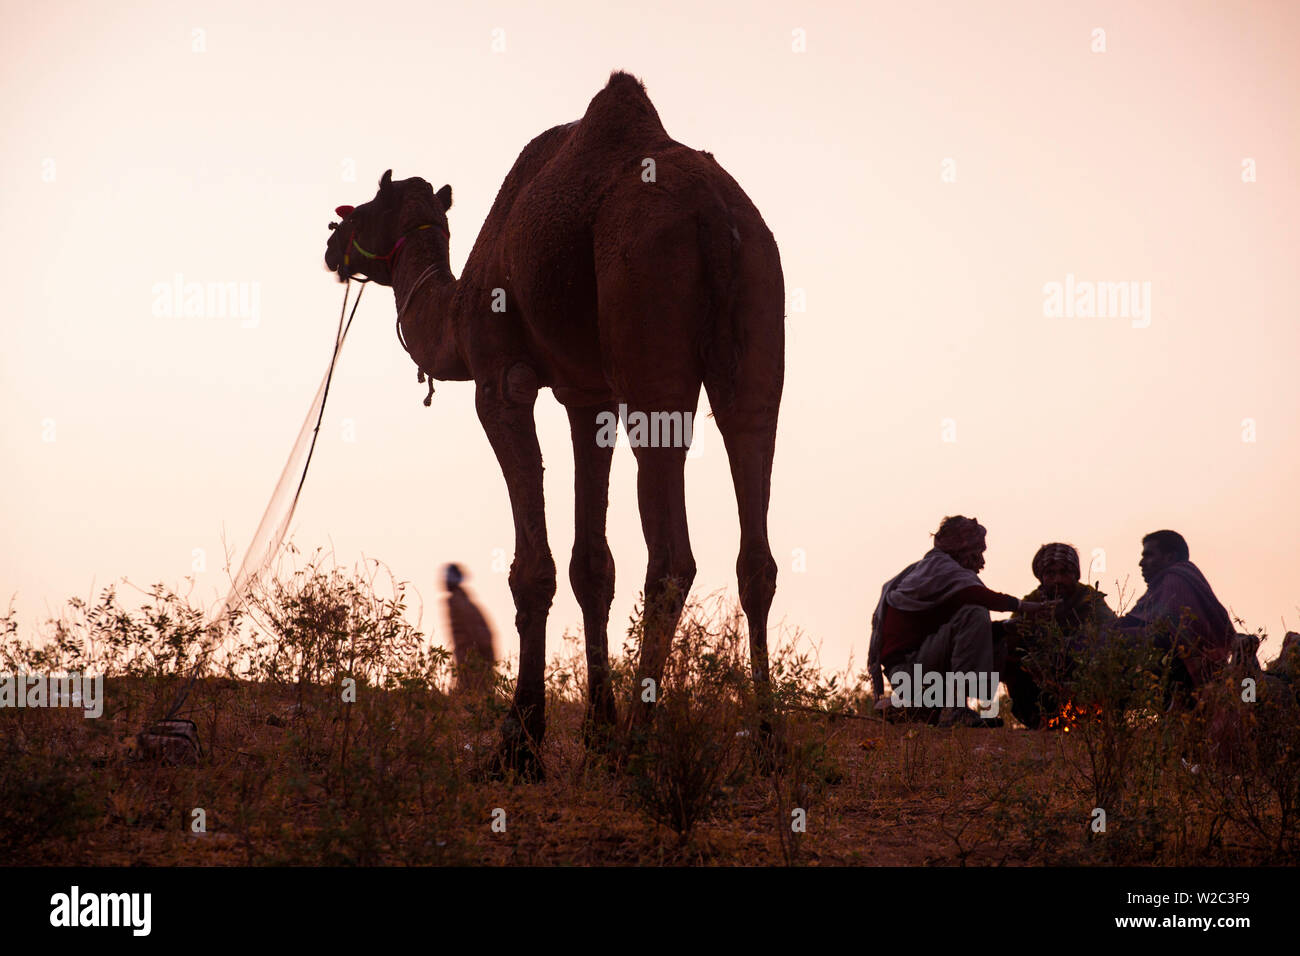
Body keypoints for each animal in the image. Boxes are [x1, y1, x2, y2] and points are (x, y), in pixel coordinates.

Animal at [324, 71, 784, 776]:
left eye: (365, 205)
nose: (329, 240)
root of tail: (715, 213)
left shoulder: (501, 379)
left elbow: (532, 567)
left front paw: (520, 742)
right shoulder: (586, 394)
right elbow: (592, 564)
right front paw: (595, 731)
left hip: (647, 309)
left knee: (672, 556)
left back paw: (641, 744)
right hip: (760, 319)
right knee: (754, 529)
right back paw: (766, 741)